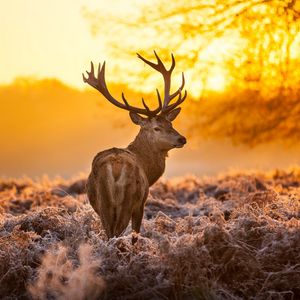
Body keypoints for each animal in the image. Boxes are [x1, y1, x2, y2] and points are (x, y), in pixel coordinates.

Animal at [83, 51, 186, 241]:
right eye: (157, 127)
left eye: (171, 123)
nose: (182, 139)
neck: (148, 169)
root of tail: (115, 168)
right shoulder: (141, 204)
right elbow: (135, 234)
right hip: (128, 200)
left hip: (103, 205)